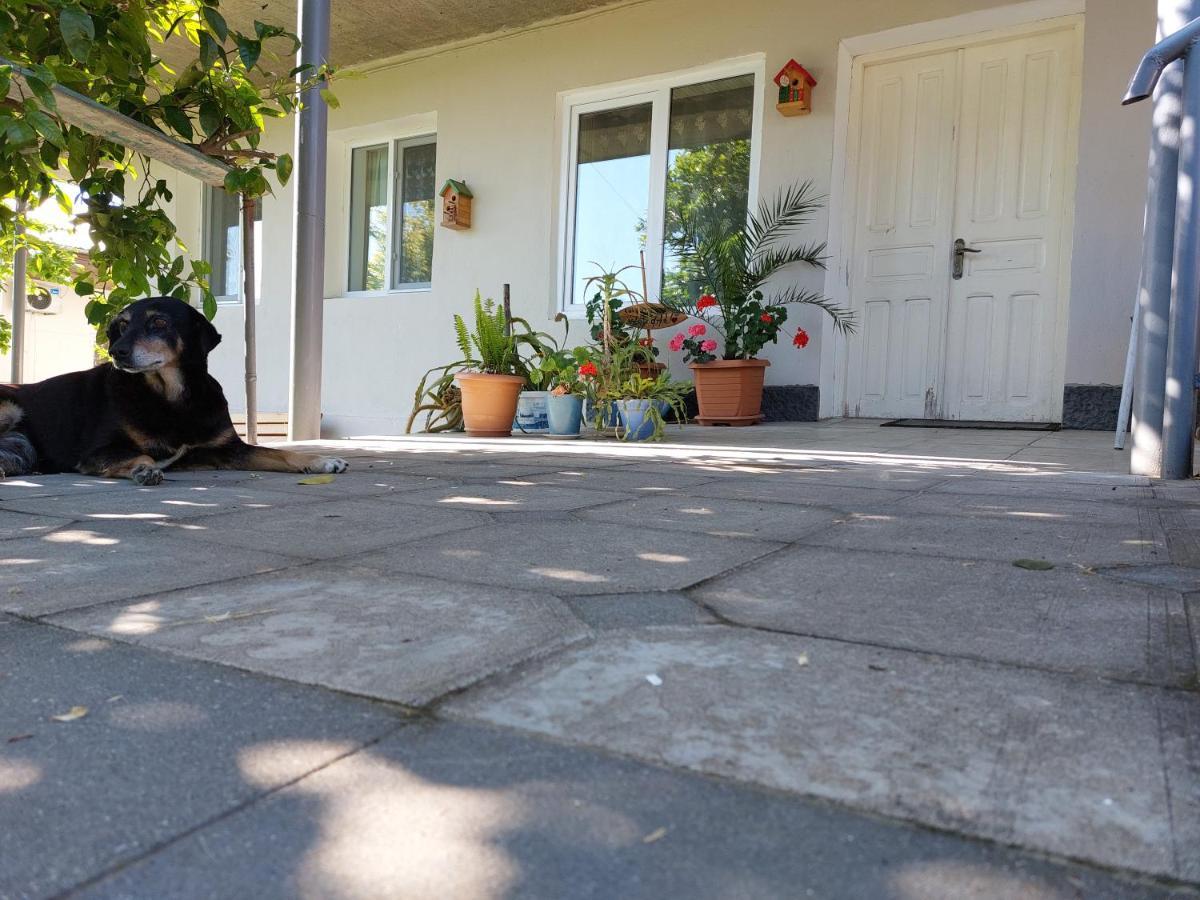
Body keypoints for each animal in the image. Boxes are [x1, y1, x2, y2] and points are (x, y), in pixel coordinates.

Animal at [0, 297, 348, 487]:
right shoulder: (97, 452)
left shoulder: (228, 449)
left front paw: (320, 461)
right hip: (10, 407)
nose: (116, 351)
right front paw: (143, 469)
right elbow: (140, 454)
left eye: (159, 322)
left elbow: (279, 453)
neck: (174, 399)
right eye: (122, 325)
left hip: (23, 449)